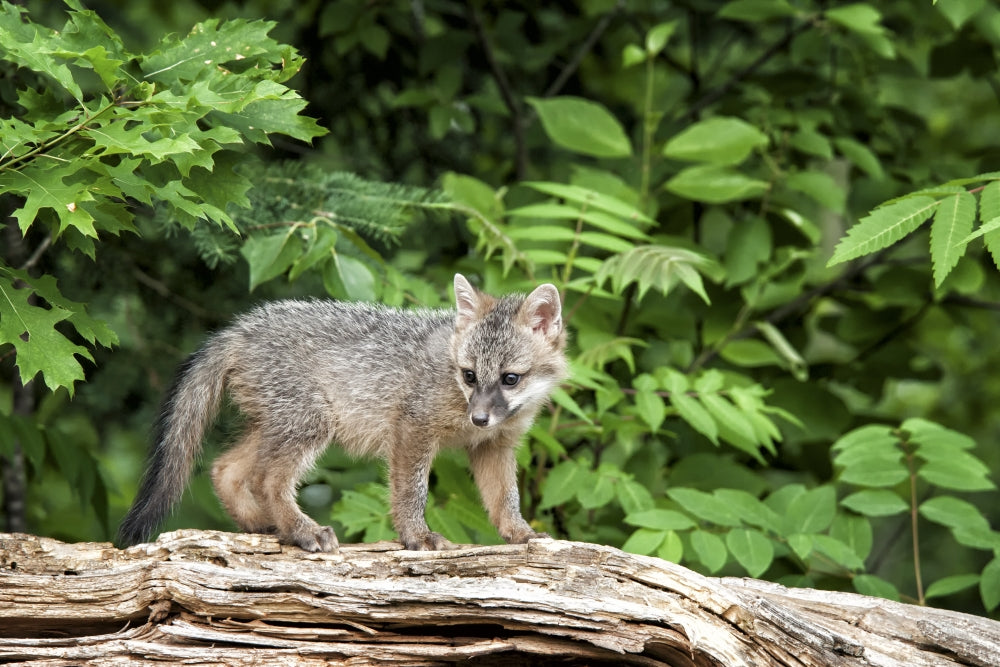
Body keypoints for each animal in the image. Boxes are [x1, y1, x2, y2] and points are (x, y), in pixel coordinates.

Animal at [117, 274, 567, 552]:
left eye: (510, 379)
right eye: (469, 375)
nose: (479, 419)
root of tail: (242, 326)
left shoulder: (495, 445)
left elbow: (505, 499)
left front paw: (521, 534)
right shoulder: (412, 429)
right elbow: (412, 492)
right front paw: (417, 537)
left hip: (281, 425)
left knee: (225, 469)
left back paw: (268, 526)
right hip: (311, 425)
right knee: (266, 479)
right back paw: (302, 531)